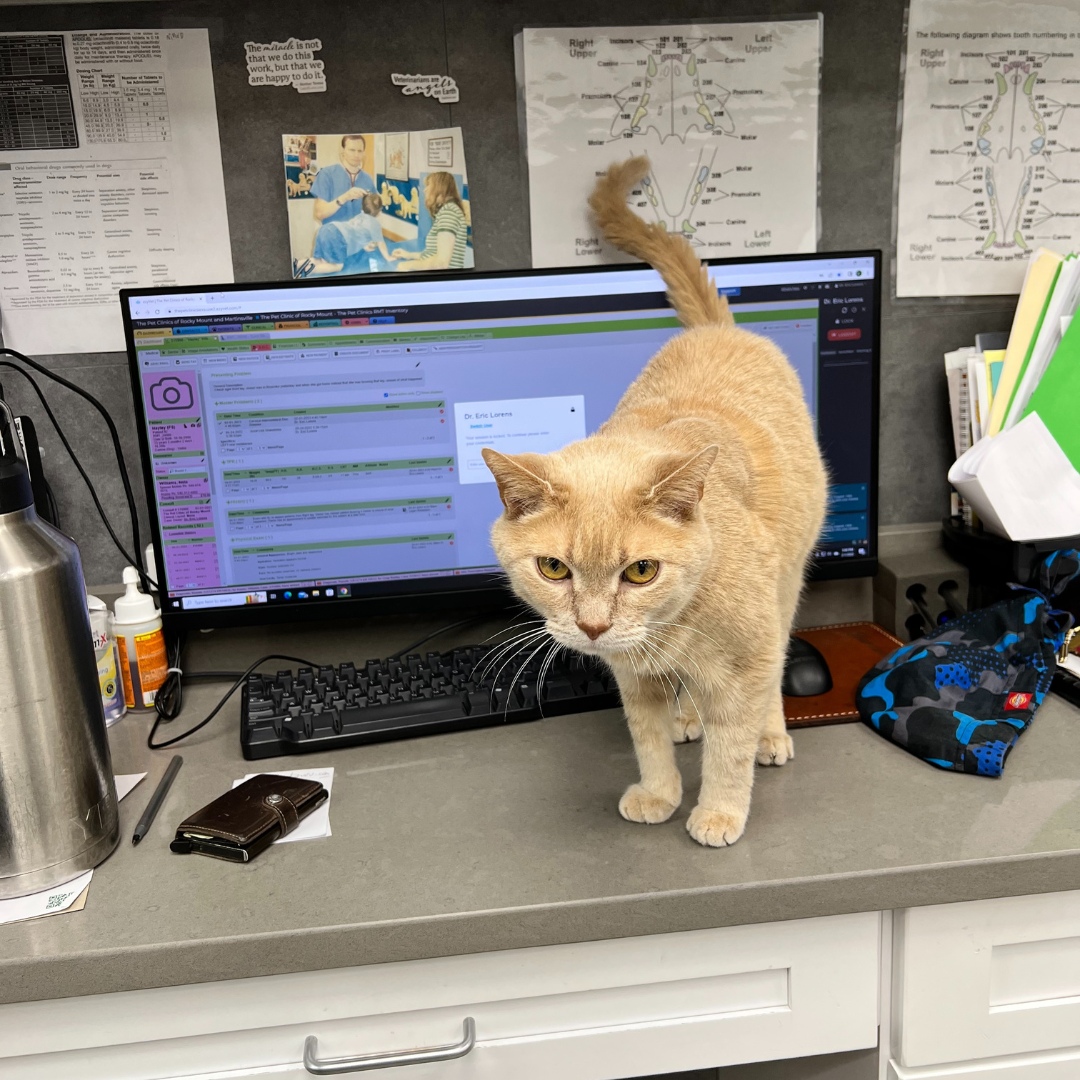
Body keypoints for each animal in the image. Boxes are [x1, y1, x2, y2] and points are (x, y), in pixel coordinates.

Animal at [481, 156, 825, 846]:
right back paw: (686, 716)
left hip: (787, 586)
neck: (671, 630)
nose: (592, 626)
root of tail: (718, 330)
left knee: (776, 664)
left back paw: (769, 734)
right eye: (554, 568)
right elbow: (648, 739)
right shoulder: (631, 678)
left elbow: (730, 747)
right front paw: (661, 791)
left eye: (641, 571)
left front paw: (718, 812)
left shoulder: (745, 663)